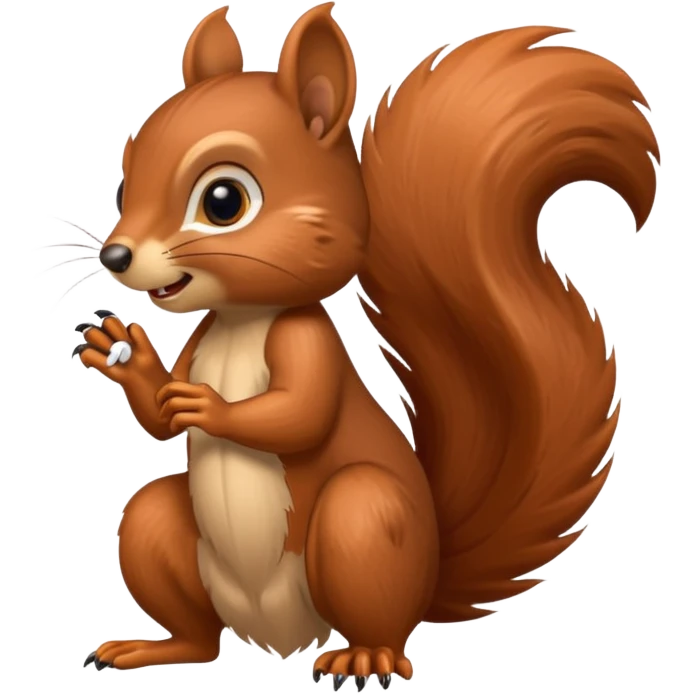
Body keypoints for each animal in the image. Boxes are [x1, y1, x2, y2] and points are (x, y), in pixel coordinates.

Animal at [76, 2, 660, 687]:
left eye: (224, 201)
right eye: (122, 190)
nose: (115, 256)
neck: (245, 320)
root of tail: (282, 638)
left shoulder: (309, 342)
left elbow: (299, 414)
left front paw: (208, 407)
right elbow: (160, 423)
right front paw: (129, 360)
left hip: (361, 522)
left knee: (378, 619)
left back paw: (365, 657)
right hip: (159, 533)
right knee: (200, 635)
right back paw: (154, 649)